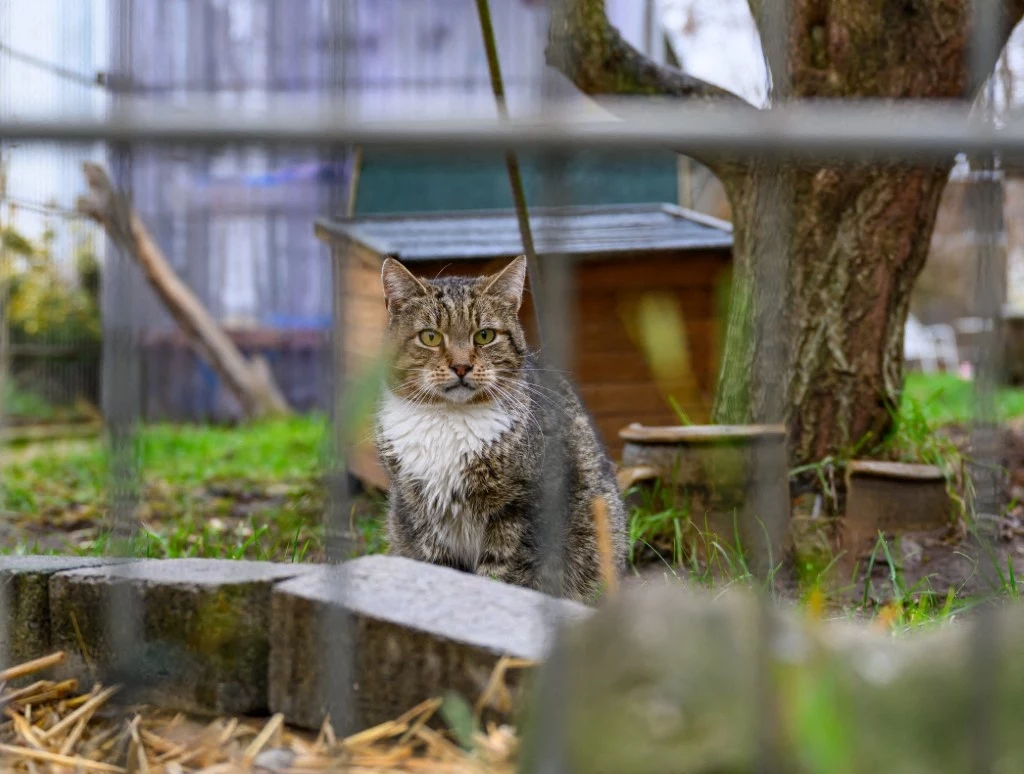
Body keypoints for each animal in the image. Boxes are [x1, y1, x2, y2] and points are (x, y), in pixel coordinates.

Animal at [376, 255, 626, 606]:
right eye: (430, 337)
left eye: (484, 335)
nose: (462, 366)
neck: (450, 418)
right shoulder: (420, 512)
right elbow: (439, 568)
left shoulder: (519, 510)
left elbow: (501, 576)